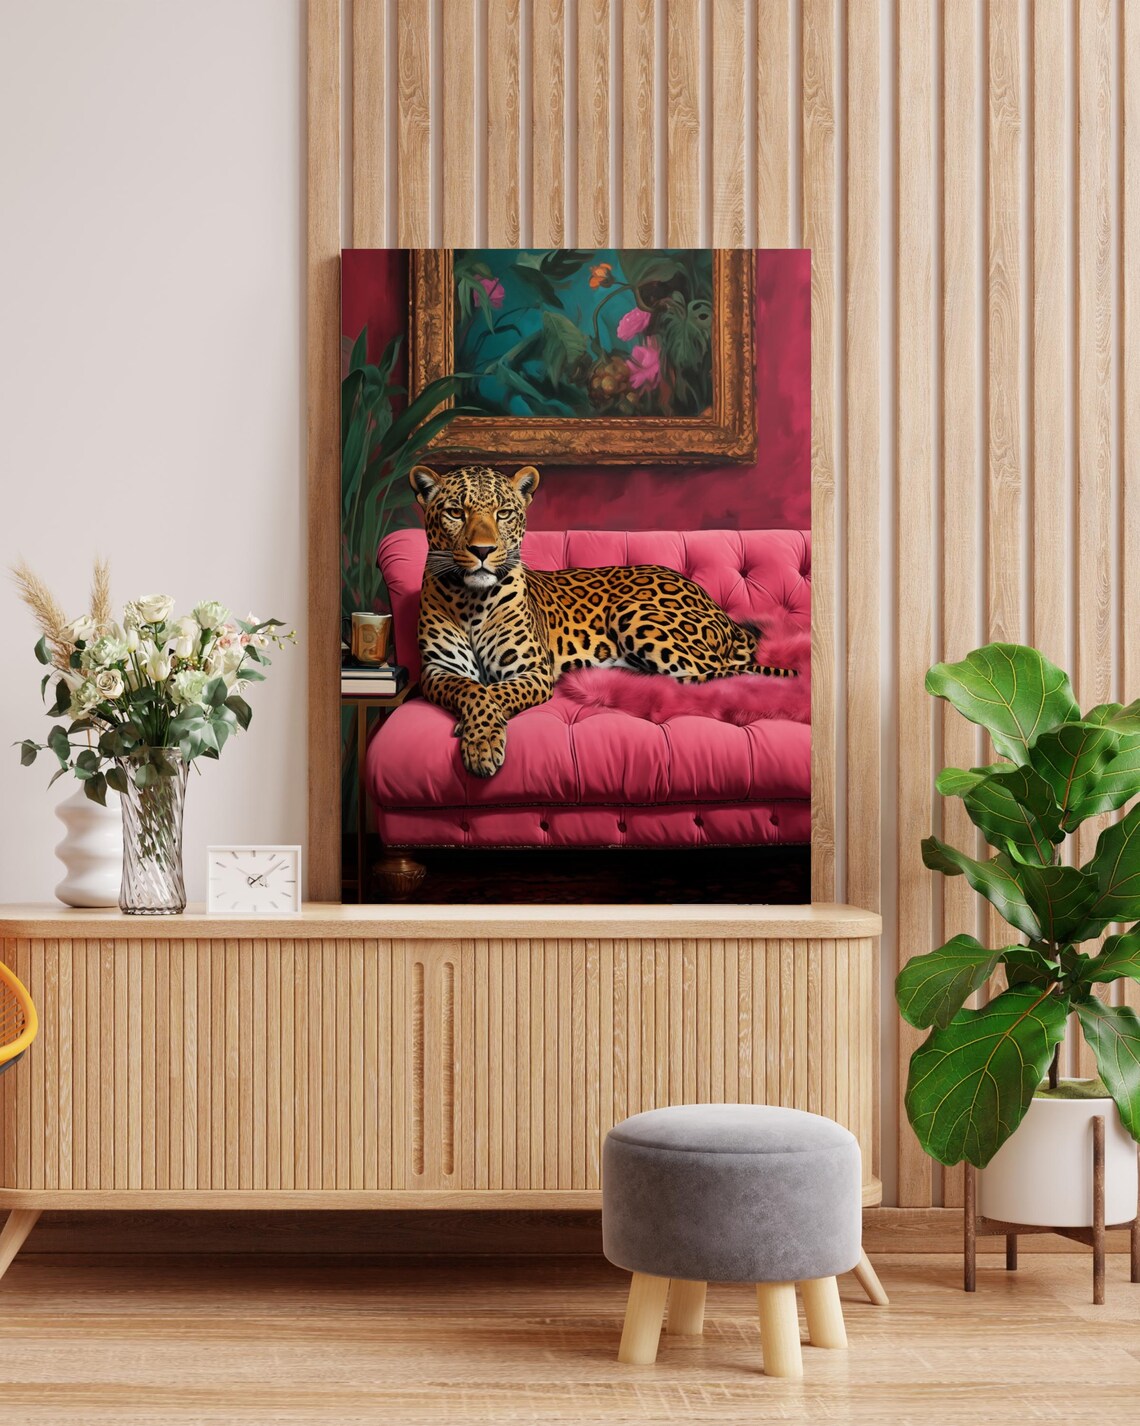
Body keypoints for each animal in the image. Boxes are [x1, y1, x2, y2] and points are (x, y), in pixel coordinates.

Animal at [409, 462, 797, 778]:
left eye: (503, 513)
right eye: (455, 512)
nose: (483, 551)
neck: (471, 601)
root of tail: (716, 607)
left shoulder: (532, 670)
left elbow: (496, 692)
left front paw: (482, 741)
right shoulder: (438, 670)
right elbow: (474, 690)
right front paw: (481, 738)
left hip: (635, 613)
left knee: (718, 677)